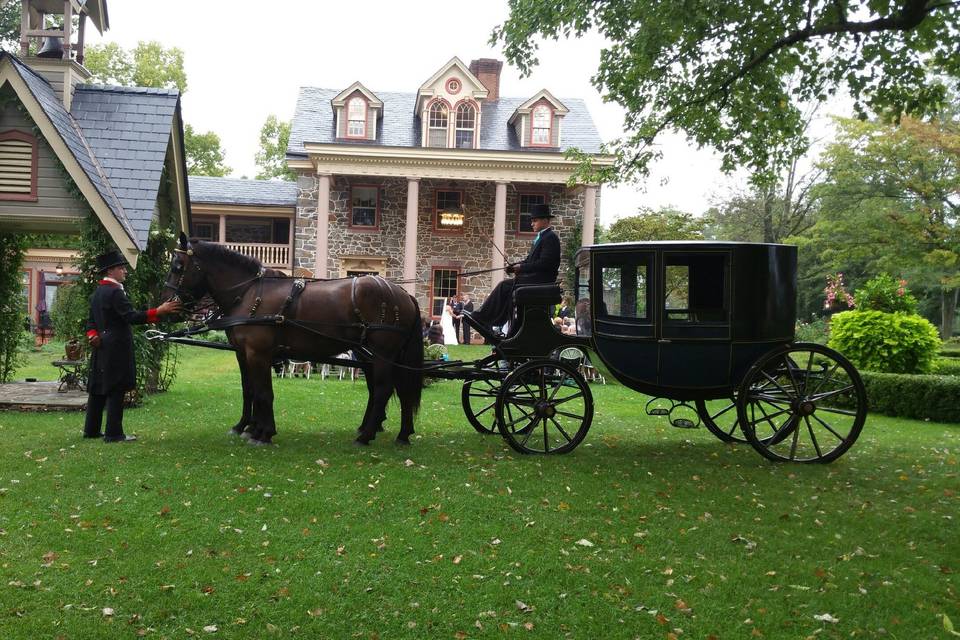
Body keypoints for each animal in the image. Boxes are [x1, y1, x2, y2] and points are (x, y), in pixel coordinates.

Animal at [159, 234, 422, 444]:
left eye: (178, 266)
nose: (167, 305)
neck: (249, 293)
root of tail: (403, 294)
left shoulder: (258, 353)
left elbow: (264, 393)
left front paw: (263, 433)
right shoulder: (243, 353)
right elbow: (250, 390)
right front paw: (247, 427)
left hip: (383, 354)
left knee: (384, 389)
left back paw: (366, 436)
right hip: (373, 355)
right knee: (394, 389)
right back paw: (399, 433)